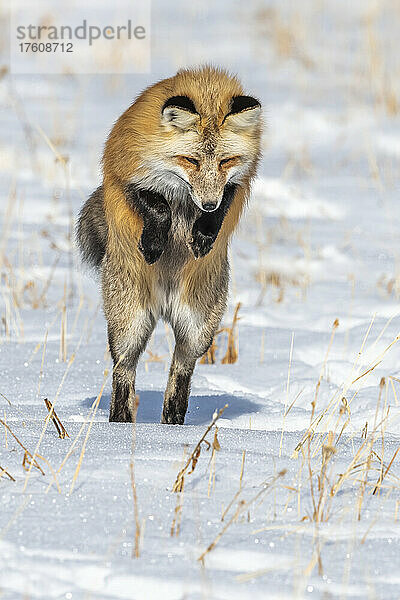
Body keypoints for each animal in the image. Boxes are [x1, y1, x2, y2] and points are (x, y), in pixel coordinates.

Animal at [77, 64, 262, 422]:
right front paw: (153, 243)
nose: (207, 204)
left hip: (198, 330)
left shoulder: (236, 184)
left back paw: (171, 426)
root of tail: (165, 303)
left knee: (180, 372)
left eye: (226, 161)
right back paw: (119, 425)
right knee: (123, 372)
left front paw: (203, 235)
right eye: (190, 161)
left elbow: (224, 204)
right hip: (129, 325)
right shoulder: (126, 175)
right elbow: (157, 205)